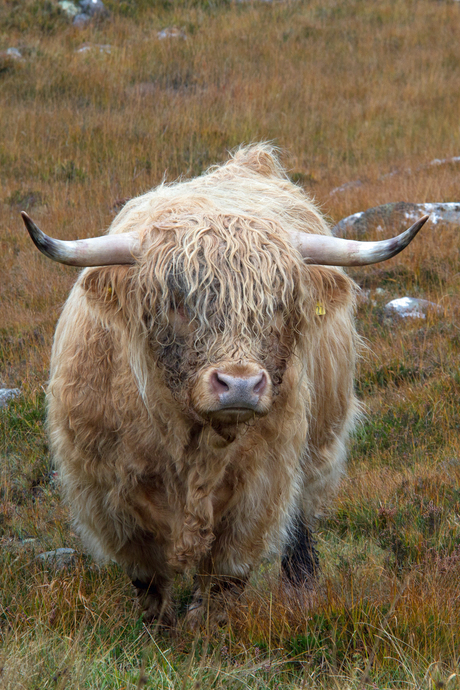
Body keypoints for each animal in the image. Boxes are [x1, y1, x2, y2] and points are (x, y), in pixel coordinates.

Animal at [22, 144, 428, 624]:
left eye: (279, 304)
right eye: (178, 301)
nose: (240, 385)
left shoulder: (262, 484)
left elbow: (226, 573)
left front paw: (205, 627)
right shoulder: (104, 486)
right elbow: (148, 575)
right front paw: (158, 627)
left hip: (317, 447)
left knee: (300, 520)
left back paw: (301, 585)